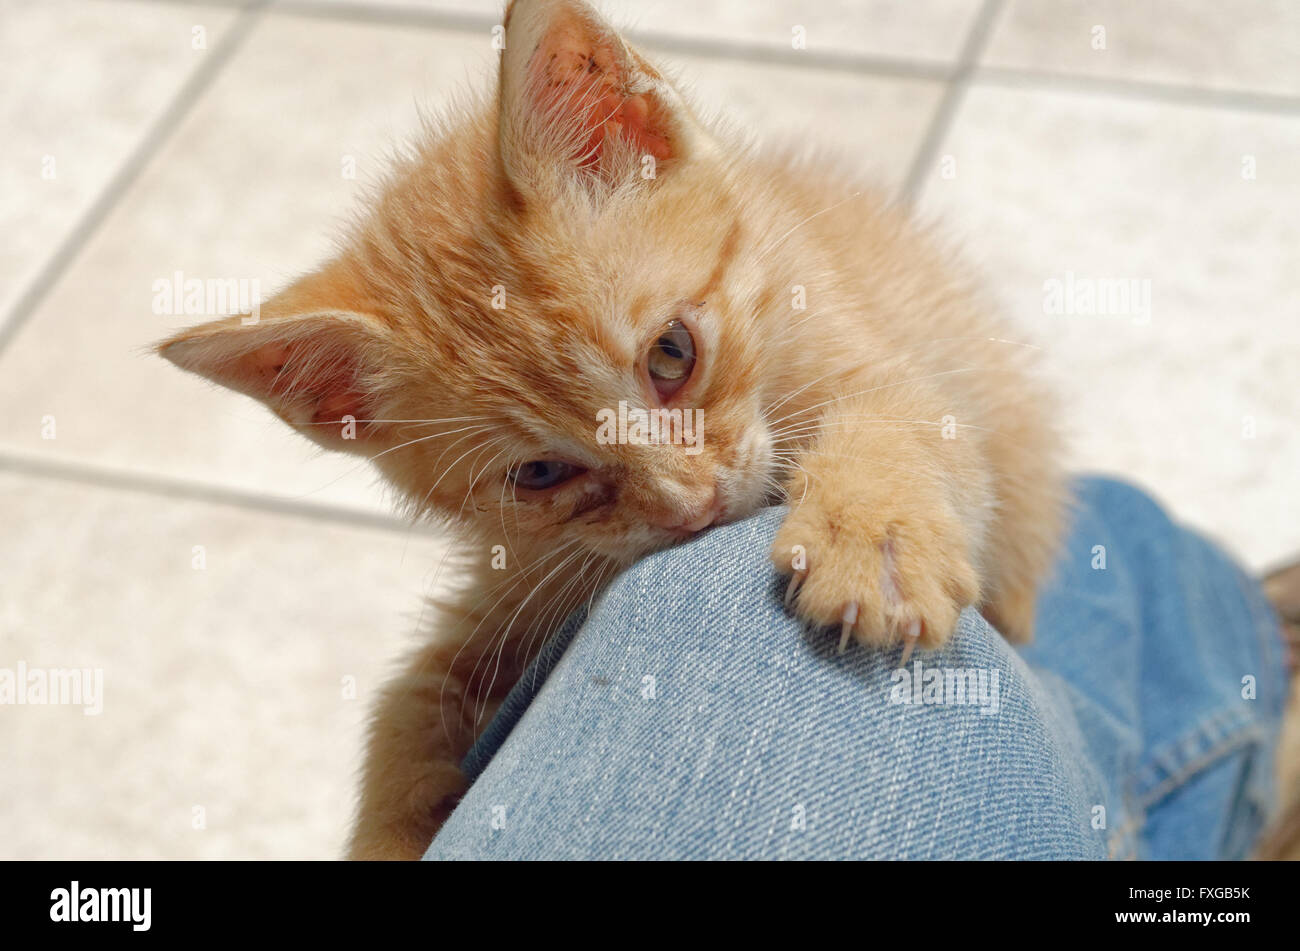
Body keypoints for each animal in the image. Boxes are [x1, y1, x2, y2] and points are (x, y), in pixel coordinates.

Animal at [157, 0, 1066, 862]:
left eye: (671, 353)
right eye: (538, 475)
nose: (693, 509)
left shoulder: (888, 366)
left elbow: (898, 422)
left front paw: (873, 534)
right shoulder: (522, 572)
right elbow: (406, 697)